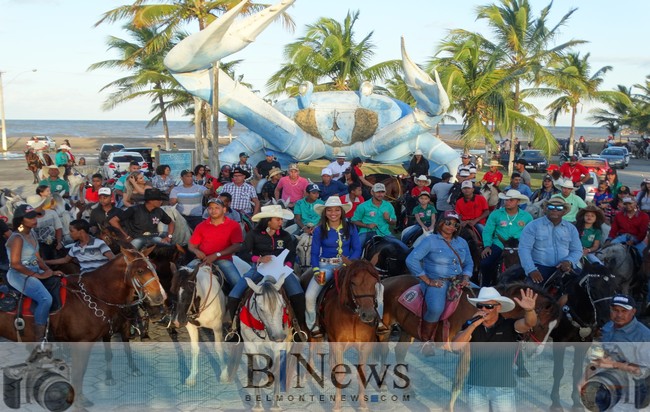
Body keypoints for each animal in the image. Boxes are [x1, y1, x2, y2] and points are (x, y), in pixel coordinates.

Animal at [0, 246, 166, 408]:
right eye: (140, 271)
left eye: (154, 268)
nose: (161, 297)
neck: (92, 295)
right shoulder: (81, 343)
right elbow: (78, 373)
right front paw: (76, 403)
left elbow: (82, 371)